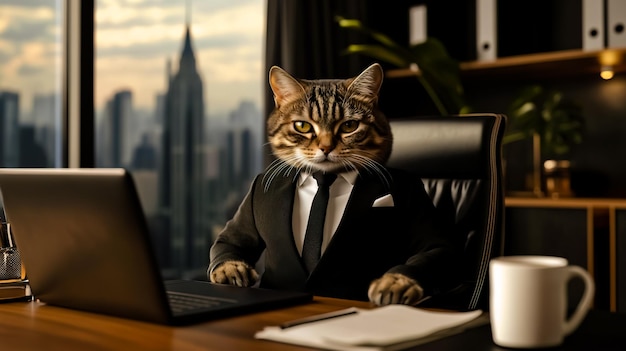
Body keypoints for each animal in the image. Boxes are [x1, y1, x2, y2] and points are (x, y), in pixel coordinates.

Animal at [207, 64, 432, 306]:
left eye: (349, 125)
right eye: (302, 126)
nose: (326, 147)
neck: (325, 178)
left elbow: (431, 248)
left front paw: (397, 282)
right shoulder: (245, 211)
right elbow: (229, 240)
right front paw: (231, 269)